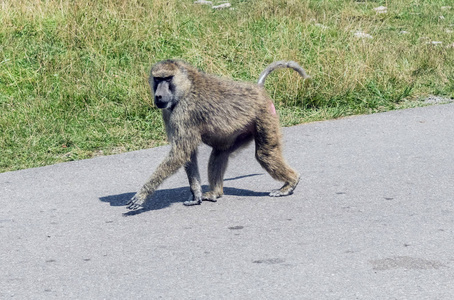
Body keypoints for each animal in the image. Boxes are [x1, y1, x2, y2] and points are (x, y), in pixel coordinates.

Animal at [127, 58, 310, 209]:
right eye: (157, 79)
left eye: (167, 79)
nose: (159, 96)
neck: (186, 86)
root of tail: (258, 90)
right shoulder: (169, 112)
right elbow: (188, 153)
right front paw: (196, 194)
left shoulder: (184, 112)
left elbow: (181, 152)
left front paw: (142, 194)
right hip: (242, 131)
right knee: (219, 153)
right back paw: (215, 193)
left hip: (265, 116)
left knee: (265, 154)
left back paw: (291, 183)